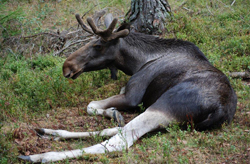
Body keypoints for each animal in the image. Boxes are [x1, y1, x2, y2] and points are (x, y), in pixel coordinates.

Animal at [19, 13, 236, 163]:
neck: (138, 62)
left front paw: (112, 111)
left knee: (118, 142)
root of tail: (219, 110)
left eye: (98, 45)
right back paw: (52, 133)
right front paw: (114, 113)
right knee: (118, 130)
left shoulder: (132, 96)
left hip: (162, 106)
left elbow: (91, 105)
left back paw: (42, 155)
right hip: (172, 121)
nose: (67, 66)